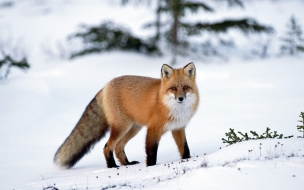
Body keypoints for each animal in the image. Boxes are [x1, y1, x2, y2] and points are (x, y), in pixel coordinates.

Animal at [54, 62, 200, 168]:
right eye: (173, 88)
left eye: (185, 87)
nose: (180, 98)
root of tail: (105, 86)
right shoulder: (153, 129)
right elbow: (151, 153)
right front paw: (151, 167)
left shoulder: (178, 128)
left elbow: (185, 149)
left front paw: (188, 160)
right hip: (121, 127)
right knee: (108, 146)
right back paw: (112, 166)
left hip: (133, 128)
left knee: (118, 147)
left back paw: (127, 163)